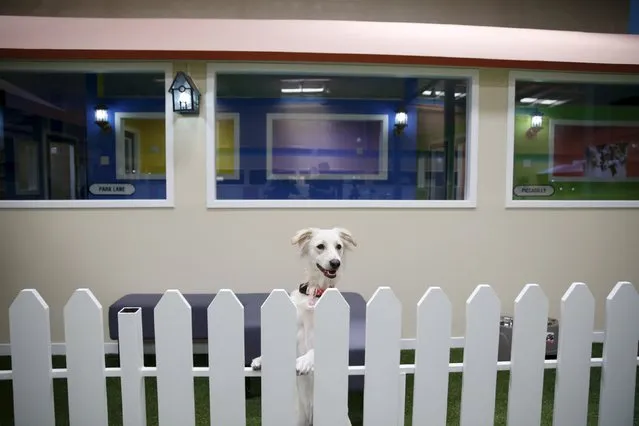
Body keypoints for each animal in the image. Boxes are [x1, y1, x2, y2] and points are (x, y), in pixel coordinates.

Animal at [252, 226, 358, 426]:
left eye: (339, 246)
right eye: (320, 246)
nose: (336, 263)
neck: (316, 293)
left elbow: (314, 350)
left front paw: (304, 361)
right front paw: (261, 359)